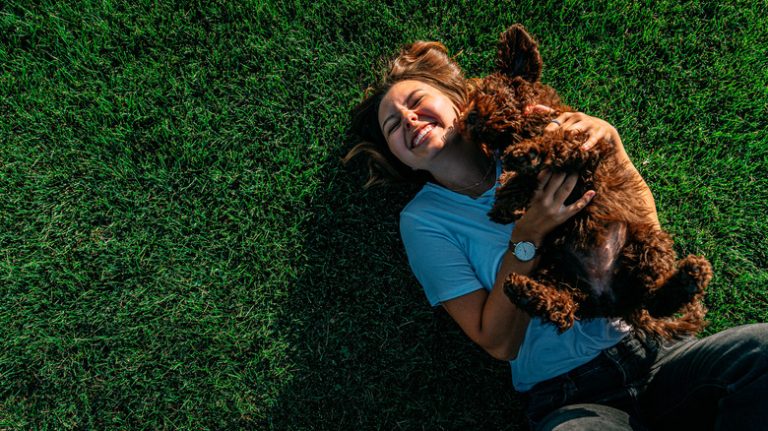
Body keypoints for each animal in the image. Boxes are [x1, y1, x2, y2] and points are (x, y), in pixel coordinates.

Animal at [456, 24, 712, 340]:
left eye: (485, 92)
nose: (466, 120)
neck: (524, 126)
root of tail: (614, 303)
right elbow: (524, 178)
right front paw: (507, 199)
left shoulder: (586, 149)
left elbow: (557, 145)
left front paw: (526, 156)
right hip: (558, 270)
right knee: (565, 311)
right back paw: (524, 291)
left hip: (646, 242)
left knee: (652, 298)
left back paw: (691, 276)